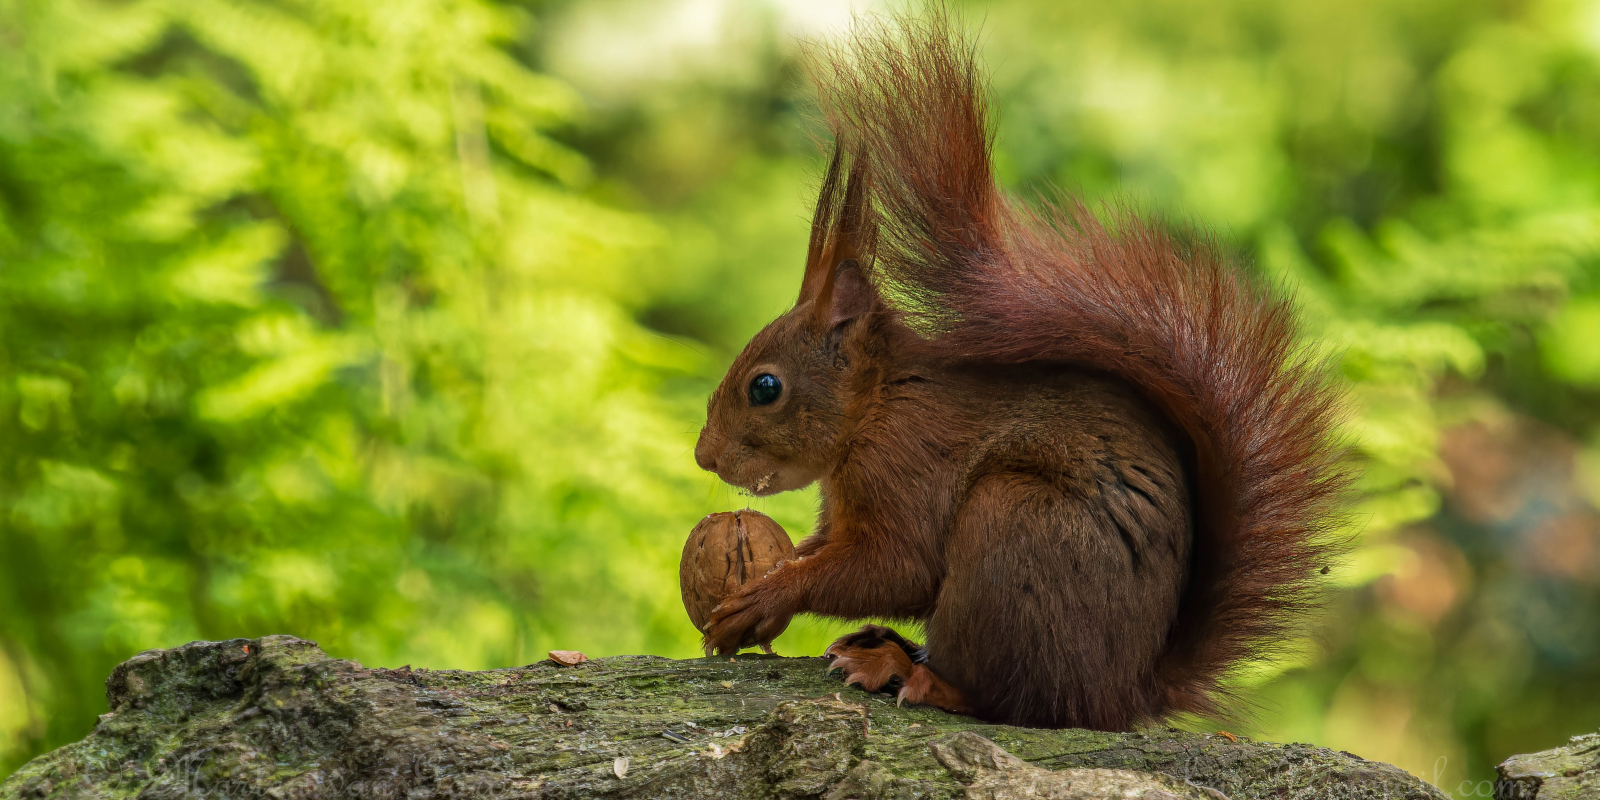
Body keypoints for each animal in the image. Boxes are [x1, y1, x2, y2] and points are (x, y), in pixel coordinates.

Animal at [694, 10, 1344, 732]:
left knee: (1010, 698)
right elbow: (830, 549)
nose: (704, 456)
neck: (878, 405)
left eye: (765, 387)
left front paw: (768, 594)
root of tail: (1122, 693)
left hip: (1013, 530)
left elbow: (894, 567)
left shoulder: (907, 466)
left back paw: (907, 671)